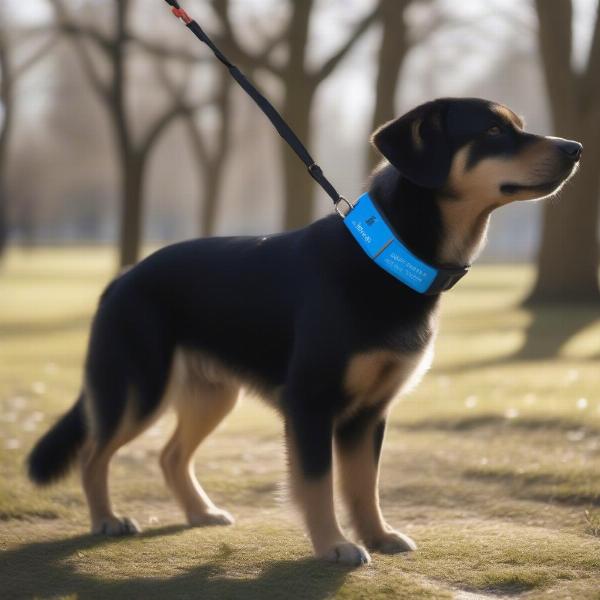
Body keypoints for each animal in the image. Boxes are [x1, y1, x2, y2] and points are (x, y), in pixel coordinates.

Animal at [27, 98, 580, 568]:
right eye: (493, 131)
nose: (575, 148)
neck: (387, 257)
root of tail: (121, 278)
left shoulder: (369, 414)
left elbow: (364, 485)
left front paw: (377, 536)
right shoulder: (311, 401)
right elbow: (318, 483)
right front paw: (334, 545)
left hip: (211, 394)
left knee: (170, 456)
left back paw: (200, 512)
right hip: (139, 387)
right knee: (95, 454)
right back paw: (106, 519)